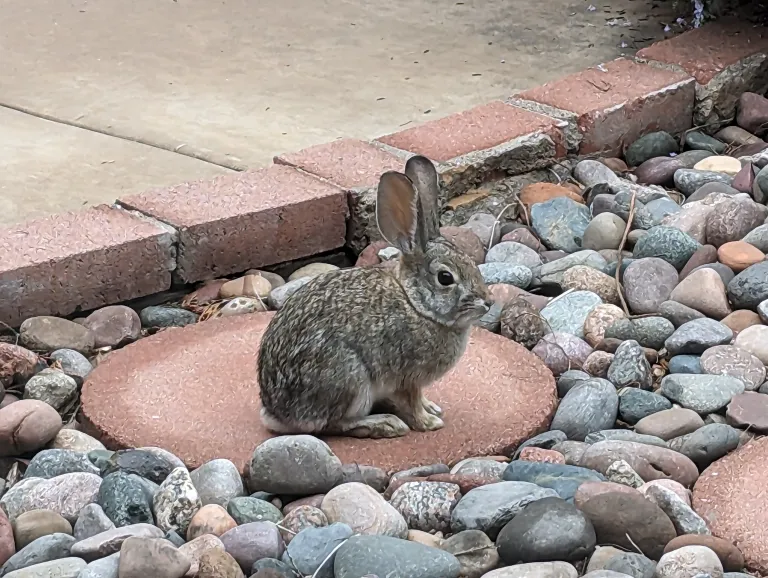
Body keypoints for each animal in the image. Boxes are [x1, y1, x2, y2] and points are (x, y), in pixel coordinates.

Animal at [257, 154, 492, 439]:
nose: (488, 302)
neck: (416, 304)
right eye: (445, 278)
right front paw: (429, 422)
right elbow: (413, 402)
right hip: (351, 380)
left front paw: (432, 408)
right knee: (334, 424)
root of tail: (276, 414)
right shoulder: (409, 377)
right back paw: (385, 424)